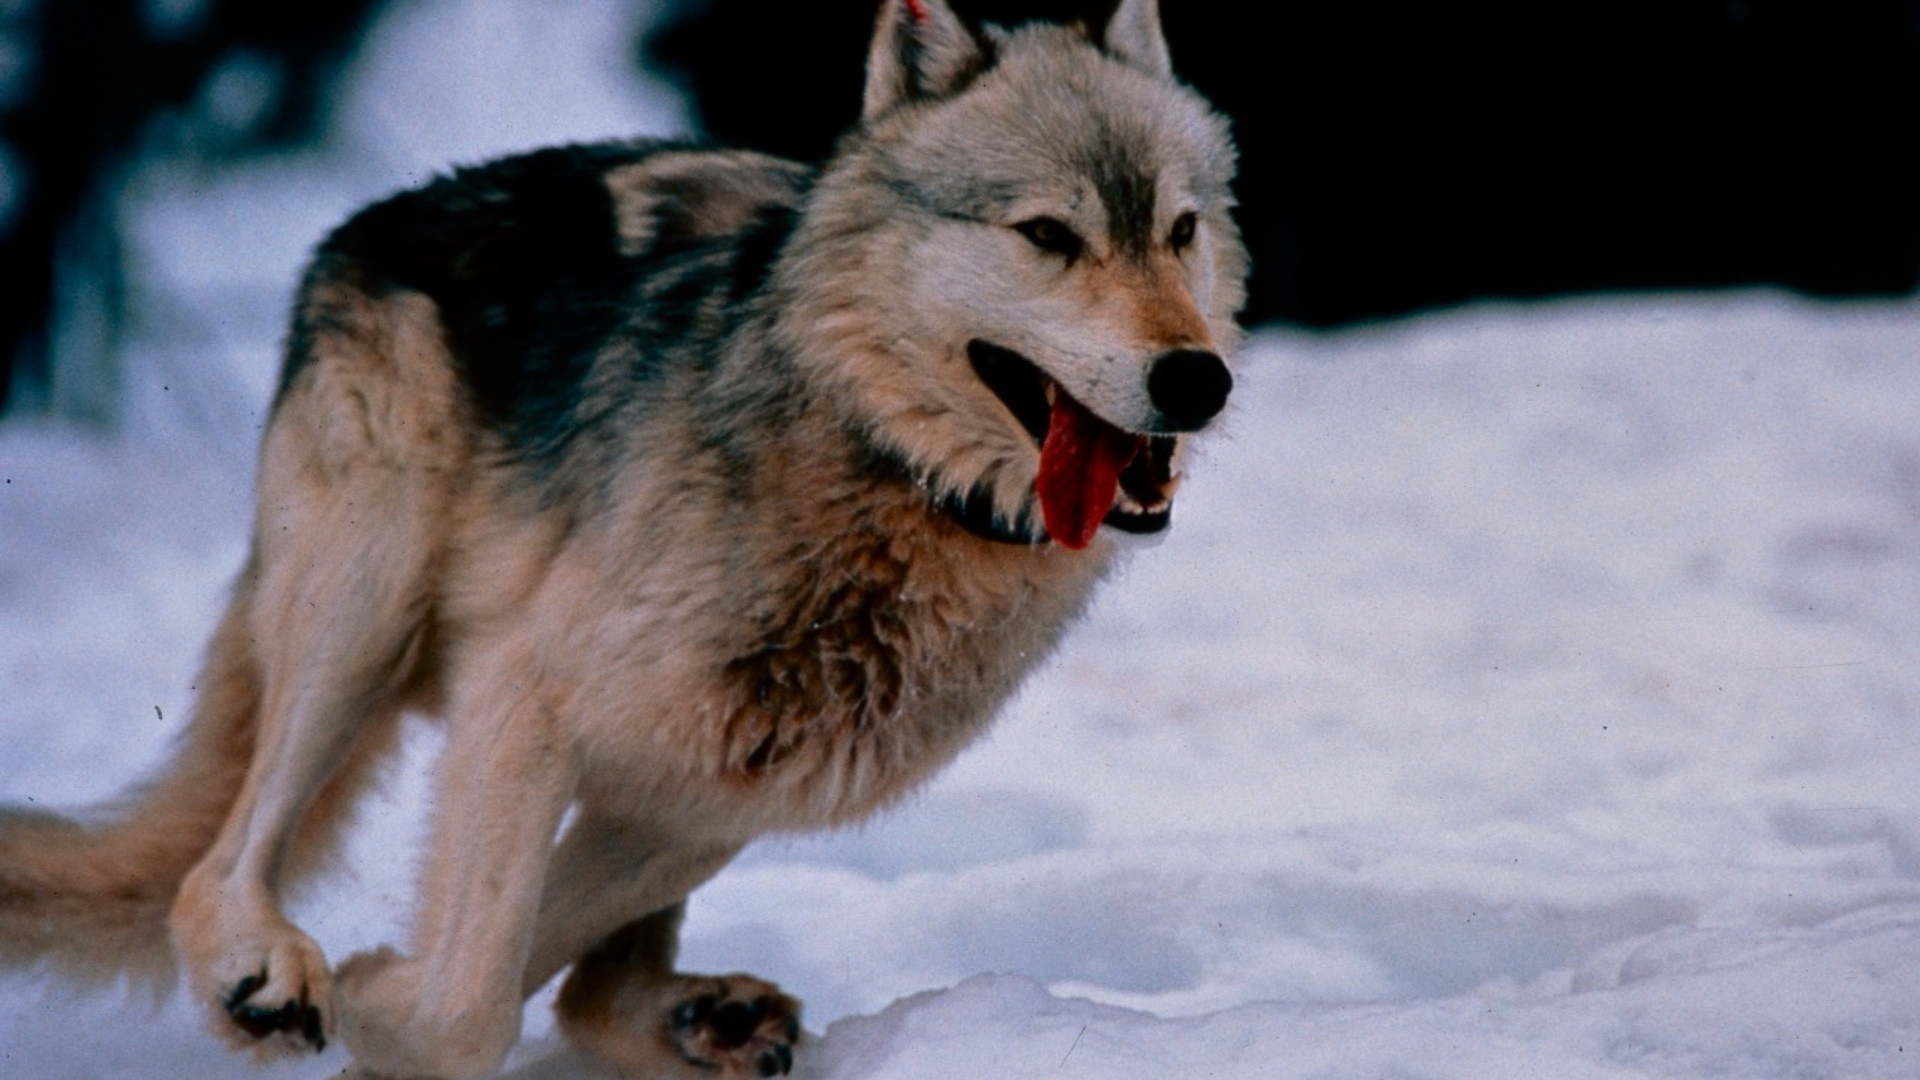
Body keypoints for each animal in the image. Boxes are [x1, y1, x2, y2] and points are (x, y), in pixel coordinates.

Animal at [0, 0, 1245, 1075]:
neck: (881, 472)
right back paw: (262, 972)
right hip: (366, 612)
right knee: (217, 865)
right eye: (1048, 234)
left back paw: (707, 1022)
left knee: (588, 985)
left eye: (1180, 231)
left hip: (689, 776)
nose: (1199, 377)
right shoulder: (525, 698)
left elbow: (507, 975)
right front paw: (370, 996)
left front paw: (377, 999)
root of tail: (373, 219)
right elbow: (468, 1003)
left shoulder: (687, 795)